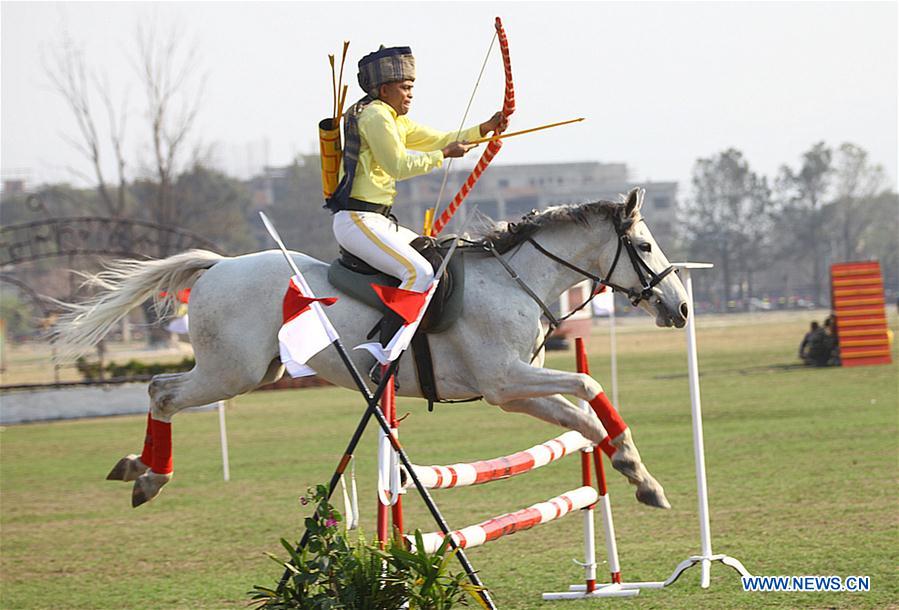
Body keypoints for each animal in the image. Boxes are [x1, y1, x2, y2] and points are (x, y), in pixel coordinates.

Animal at [54, 188, 688, 506]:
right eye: (644, 247)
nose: (680, 308)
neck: (514, 278)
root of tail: (218, 266)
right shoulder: (505, 381)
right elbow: (588, 385)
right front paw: (637, 467)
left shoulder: (515, 392)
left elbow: (583, 419)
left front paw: (639, 476)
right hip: (229, 373)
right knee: (162, 390)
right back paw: (149, 476)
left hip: (252, 372)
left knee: (161, 390)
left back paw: (139, 467)